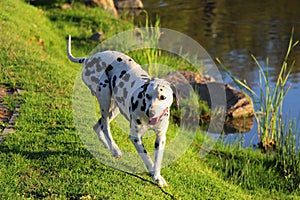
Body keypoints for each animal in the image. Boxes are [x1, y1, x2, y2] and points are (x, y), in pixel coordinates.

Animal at [67, 35, 178, 187]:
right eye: (147, 95)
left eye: (163, 97)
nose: (150, 112)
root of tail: (90, 58)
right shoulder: (135, 137)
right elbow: (146, 157)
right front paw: (151, 172)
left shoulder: (160, 138)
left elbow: (157, 160)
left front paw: (157, 176)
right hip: (105, 98)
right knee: (105, 125)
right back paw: (114, 149)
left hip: (115, 108)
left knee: (98, 126)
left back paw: (108, 145)